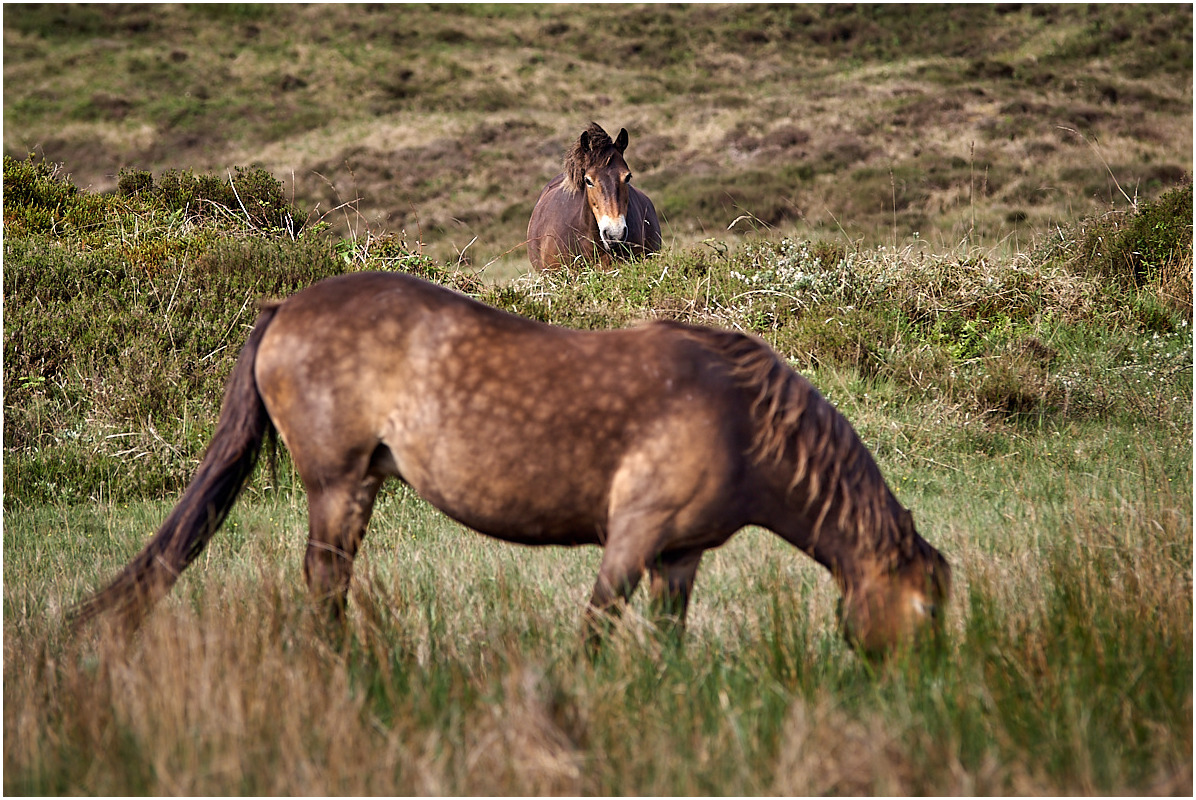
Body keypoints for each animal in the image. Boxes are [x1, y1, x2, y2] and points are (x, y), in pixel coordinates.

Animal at [74, 267, 952, 655]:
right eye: (925, 615)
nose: (924, 690)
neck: (742, 417)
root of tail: (286, 304)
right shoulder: (633, 537)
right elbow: (596, 628)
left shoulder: (680, 556)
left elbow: (668, 642)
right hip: (337, 483)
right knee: (324, 581)